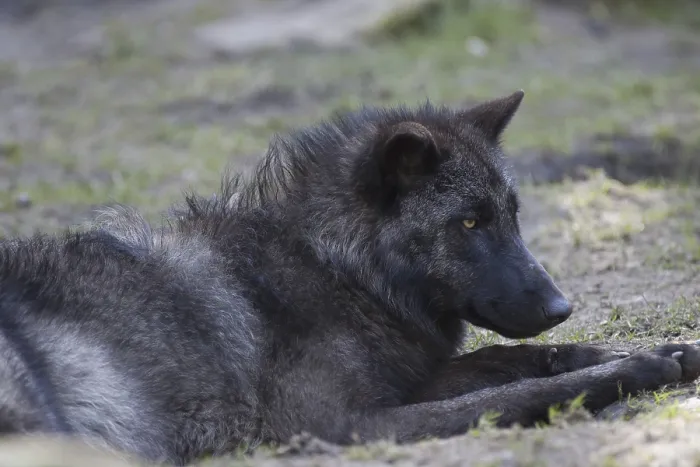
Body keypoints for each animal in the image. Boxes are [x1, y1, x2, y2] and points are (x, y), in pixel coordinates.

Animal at [0, 91, 698, 466]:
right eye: (470, 222)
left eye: (513, 216)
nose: (561, 305)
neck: (334, 266)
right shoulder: (341, 425)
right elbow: (509, 396)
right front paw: (638, 368)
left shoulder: (403, 382)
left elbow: (516, 360)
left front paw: (652, 350)